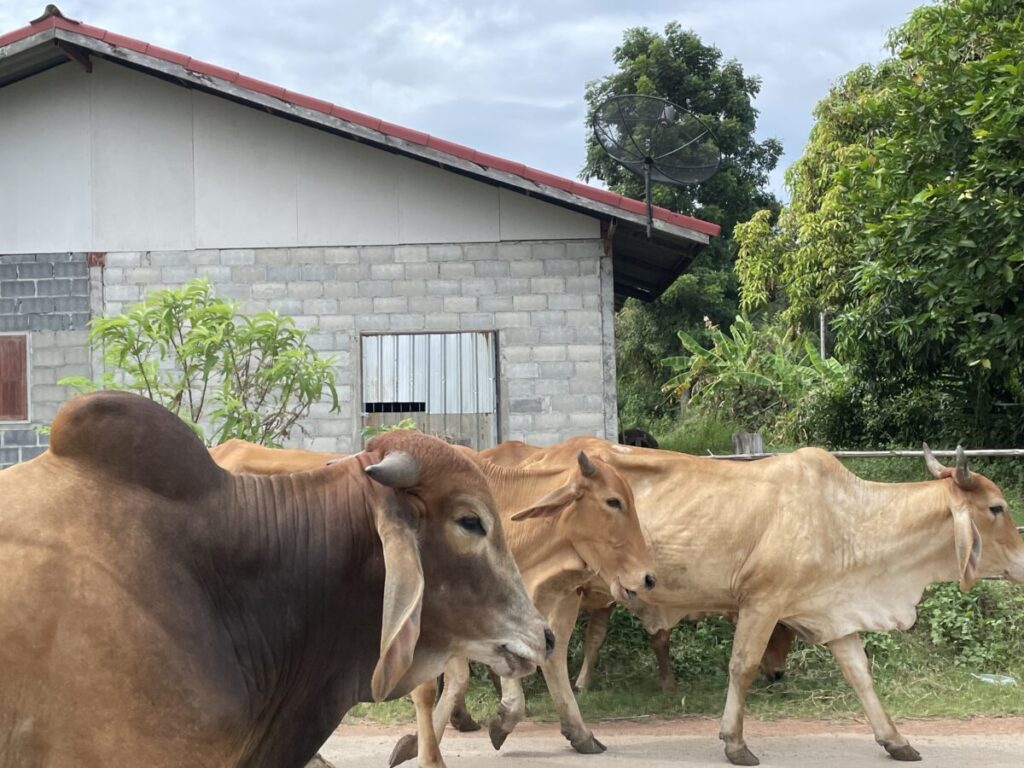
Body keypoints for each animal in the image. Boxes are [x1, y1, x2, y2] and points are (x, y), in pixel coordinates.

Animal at [516, 442, 1024, 765]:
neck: (846, 519)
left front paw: (896, 740)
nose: (1022, 562)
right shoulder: (762, 601)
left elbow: (861, 676)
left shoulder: (832, 613)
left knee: (550, 654)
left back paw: (573, 732)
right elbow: (742, 667)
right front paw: (735, 744)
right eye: (996, 508)